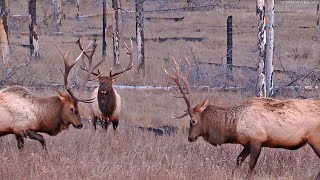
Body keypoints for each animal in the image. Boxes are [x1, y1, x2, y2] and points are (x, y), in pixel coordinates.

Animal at [165, 57, 320, 176]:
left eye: (193, 120)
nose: (190, 138)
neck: (234, 127)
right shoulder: (246, 143)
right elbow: (238, 160)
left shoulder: (257, 139)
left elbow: (251, 166)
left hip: (315, 138)